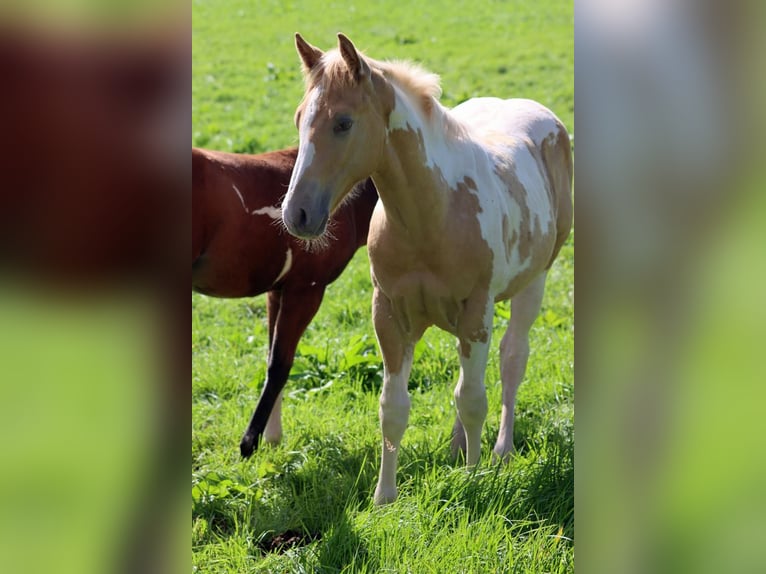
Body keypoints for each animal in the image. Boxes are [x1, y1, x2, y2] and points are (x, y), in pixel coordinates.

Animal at [193, 146, 378, 457]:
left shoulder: (277, 291)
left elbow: (271, 356)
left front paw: (271, 438)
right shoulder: (305, 291)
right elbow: (280, 365)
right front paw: (249, 443)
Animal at [281, 34, 572, 504]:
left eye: (343, 123)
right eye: (298, 118)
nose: (297, 214)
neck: (431, 214)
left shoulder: (476, 312)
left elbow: (473, 399)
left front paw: (474, 481)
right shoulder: (388, 314)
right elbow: (393, 408)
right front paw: (384, 497)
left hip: (535, 282)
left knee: (512, 359)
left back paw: (501, 450)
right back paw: (458, 447)